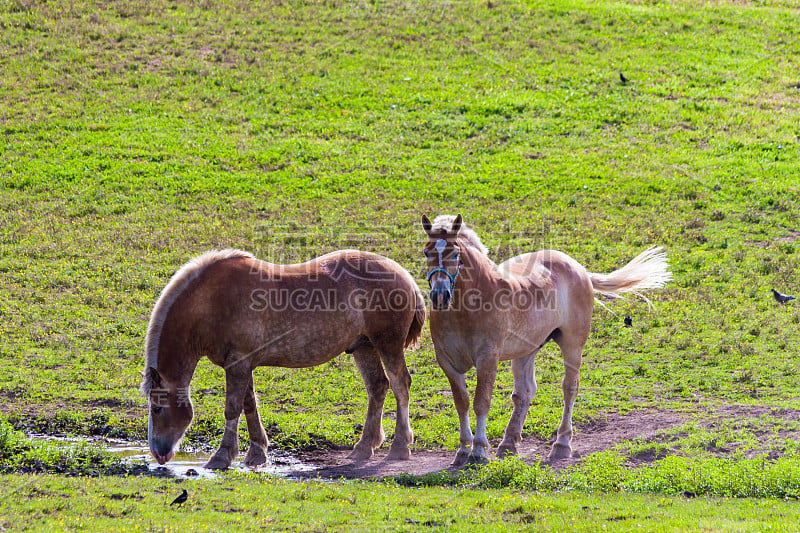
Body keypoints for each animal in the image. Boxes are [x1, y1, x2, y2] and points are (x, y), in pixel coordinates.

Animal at [139, 247, 424, 468]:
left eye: (157, 407)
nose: (159, 453)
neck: (211, 301)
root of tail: (405, 276)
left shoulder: (238, 364)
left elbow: (232, 408)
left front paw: (222, 456)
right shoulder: (242, 364)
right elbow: (249, 404)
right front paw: (257, 452)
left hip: (387, 345)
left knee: (400, 385)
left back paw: (400, 446)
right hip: (364, 347)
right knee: (377, 387)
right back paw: (365, 446)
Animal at [422, 214, 672, 464]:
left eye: (456, 254)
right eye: (426, 252)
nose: (439, 296)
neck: (466, 308)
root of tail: (580, 269)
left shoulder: (487, 359)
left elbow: (481, 403)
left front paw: (479, 451)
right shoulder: (447, 362)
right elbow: (461, 403)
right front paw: (463, 450)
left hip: (572, 344)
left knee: (569, 387)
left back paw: (561, 444)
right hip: (526, 350)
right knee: (524, 393)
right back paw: (509, 443)